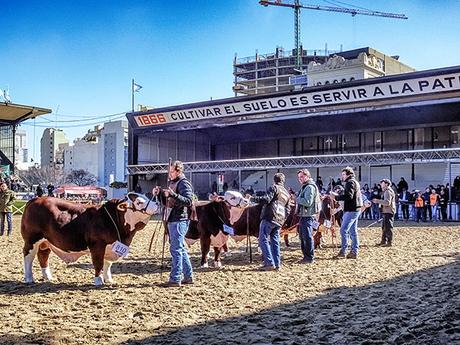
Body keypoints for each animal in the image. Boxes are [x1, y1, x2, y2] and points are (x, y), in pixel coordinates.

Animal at [20, 192, 159, 286]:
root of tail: (36, 199)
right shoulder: (97, 245)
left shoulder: (111, 247)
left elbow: (107, 264)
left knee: (43, 256)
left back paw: (48, 277)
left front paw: (109, 279)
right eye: (139, 202)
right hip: (32, 239)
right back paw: (29, 278)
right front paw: (98, 281)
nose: (157, 203)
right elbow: (98, 263)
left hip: (46, 241)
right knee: (28, 257)